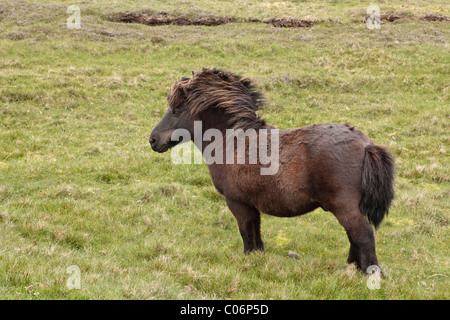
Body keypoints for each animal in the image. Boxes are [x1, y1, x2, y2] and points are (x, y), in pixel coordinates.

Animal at [149, 68, 394, 272]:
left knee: (363, 235)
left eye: (176, 110)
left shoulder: (237, 203)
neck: (232, 141)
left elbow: (247, 234)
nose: (153, 140)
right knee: (354, 237)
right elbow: (256, 235)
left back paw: (370, 273)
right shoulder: (251, 205)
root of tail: (366, 144)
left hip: (344, 207)